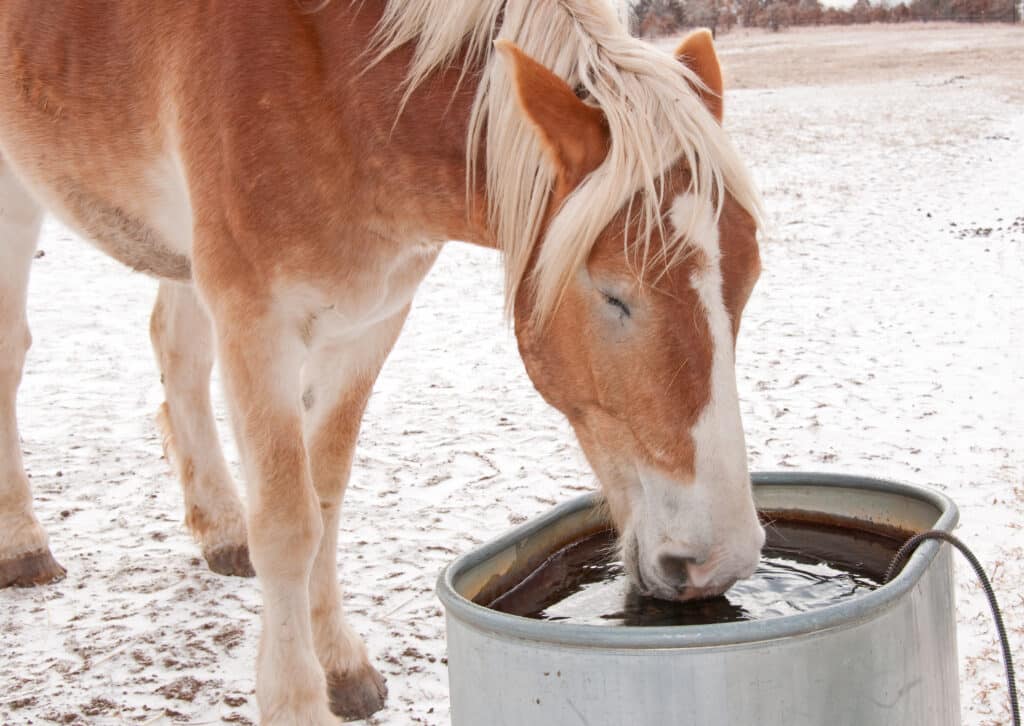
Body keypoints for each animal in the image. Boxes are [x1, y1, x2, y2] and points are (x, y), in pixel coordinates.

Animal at [0, 1, 765, 722]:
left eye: (750, 280)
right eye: (614, 294)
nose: (718, 559)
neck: (340, 78)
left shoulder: (369, 324)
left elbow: (325, 498)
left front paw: (340, 667)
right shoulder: (256, 325)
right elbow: (288, 523)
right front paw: (296, 703)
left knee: (176, 352)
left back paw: (219, 528)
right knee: (14, 353)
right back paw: (22, 545)